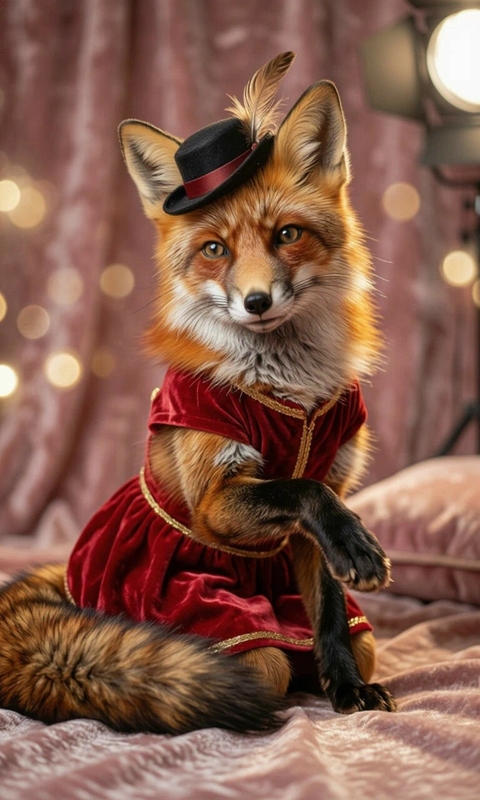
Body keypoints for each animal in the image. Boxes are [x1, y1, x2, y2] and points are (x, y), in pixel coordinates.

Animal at [0, 52, 396, 735]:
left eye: (287, 235)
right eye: (215, 249)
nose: (256, 301)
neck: (289, 385)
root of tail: (70, 577)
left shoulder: (323, 498)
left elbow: (330, 612)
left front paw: (345, 686)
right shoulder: (216, 498)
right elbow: (303, 490)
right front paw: (356, 544)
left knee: (340, 641)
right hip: (223, 631)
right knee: (265, 664)